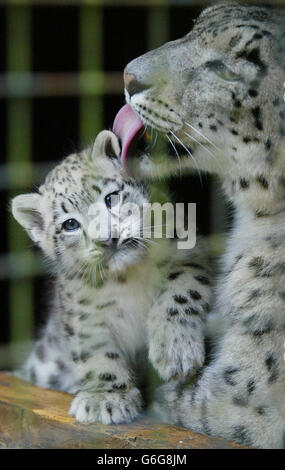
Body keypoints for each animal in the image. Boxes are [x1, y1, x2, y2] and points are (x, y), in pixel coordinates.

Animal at [11, 129, 211, 426]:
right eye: (70, 224)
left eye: (111, 198)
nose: (108, 239)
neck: (129, 278)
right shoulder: (85, 312)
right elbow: (97, 354)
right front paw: (106, 399)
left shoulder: (187, 255)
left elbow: (180, 294)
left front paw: (175, 352)